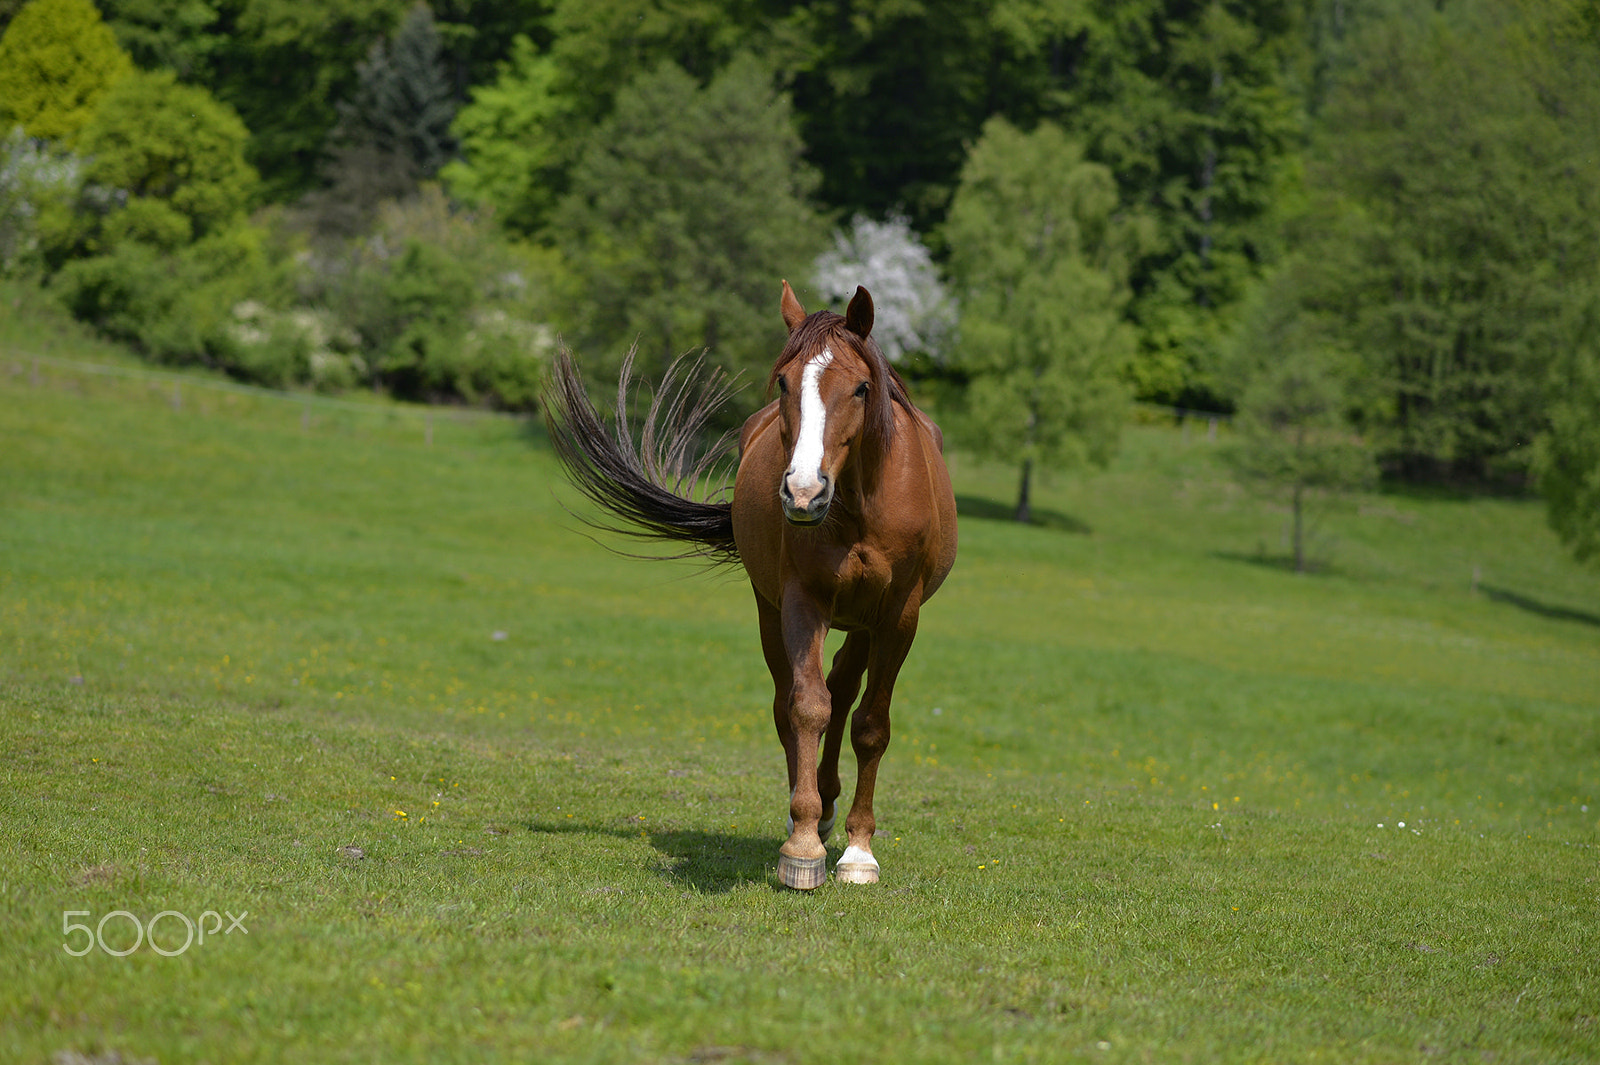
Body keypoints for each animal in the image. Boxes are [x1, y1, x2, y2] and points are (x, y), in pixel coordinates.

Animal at [544, 281, 953, 889]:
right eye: (784, 381)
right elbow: (807, 707)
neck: (860, 504)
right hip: (771, 610)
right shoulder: (802, 601)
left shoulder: (898, 615)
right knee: (795, 702)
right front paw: (803, 844)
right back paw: (811, 809)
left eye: (860, 387)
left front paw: (859, 852)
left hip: (863, 623)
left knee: (845, 688)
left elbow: (871, 725)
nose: (804, 492)